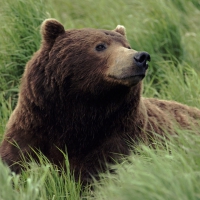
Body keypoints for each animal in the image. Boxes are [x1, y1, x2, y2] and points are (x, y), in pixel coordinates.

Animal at [0, 18, 200, 184]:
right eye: (100, 46)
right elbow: (17, 162)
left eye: (128, 46)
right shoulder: (34, 126)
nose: (141, 57)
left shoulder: (118, 135)